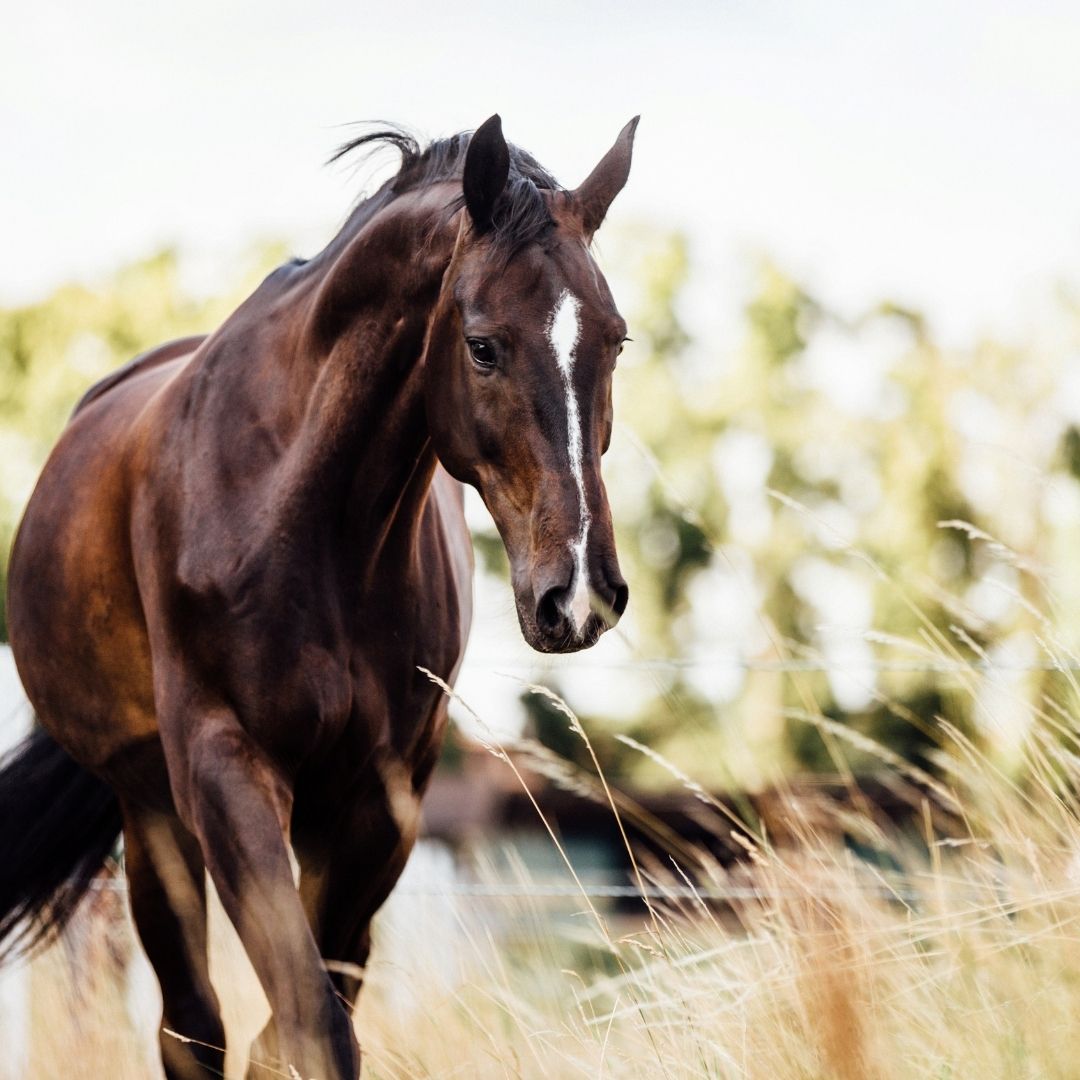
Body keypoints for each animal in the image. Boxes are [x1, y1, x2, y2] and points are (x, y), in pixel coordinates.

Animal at [0, 113, 635, 1078]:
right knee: (191, 1029)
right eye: (483, 345)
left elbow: (306, 1023)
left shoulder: (380, 802)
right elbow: (308, 1024)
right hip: (151, 817)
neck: (301, 515)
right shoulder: (224, 770)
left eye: (616, 341)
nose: (580, 593)